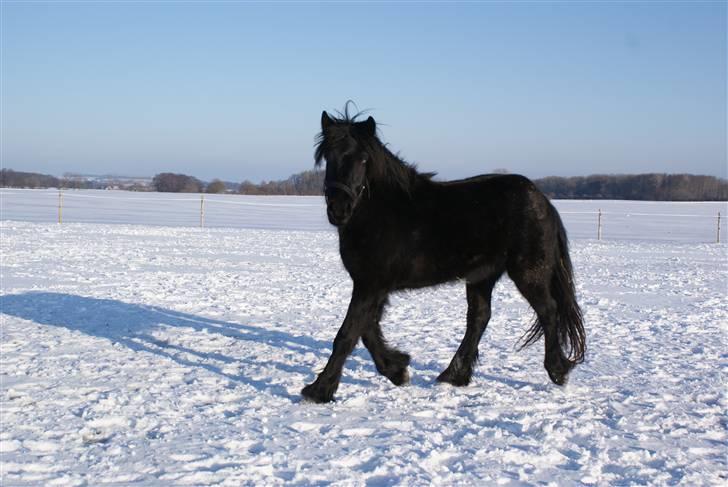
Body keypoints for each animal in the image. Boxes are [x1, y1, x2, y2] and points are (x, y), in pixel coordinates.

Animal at [301, 107, 586, 403]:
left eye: (363, 159)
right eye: (328, 157)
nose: (339, 209)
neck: (381, 211)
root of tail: (542, 200)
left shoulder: (371, 284)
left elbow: (348, 333)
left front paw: (319, 389)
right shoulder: (372, 285)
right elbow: (367, 330)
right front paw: (397, 368)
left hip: (528, 273)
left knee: (548, 310)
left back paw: (557, 370)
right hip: (482, 276)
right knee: (479, 318)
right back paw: (454, 376)